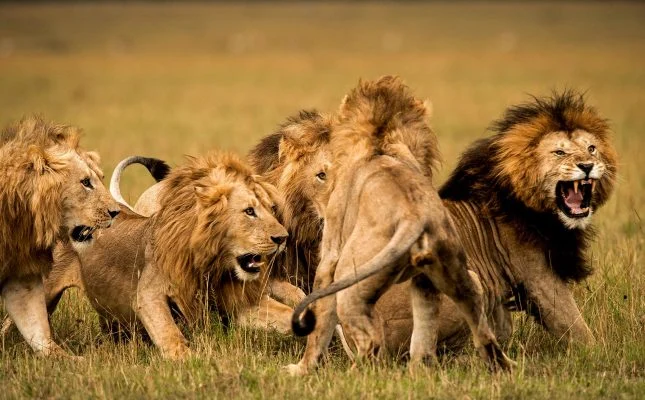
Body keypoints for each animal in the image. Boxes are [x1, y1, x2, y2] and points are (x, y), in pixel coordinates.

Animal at [38, 151, 292, 359]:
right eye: (249, 211)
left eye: (271, 209)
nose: (283, 238)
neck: (212, 265)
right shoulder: (149, 295)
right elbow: (171, 336)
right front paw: (194, 361)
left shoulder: (237, 302)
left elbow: (286, 313)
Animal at [286, 76, 514, 375]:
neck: (380, 141)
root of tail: (413, 217)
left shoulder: (330, 254)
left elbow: (319, 322)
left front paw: (302, 368)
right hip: (454, 275)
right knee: (471, 326)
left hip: (350, 281)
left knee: (371, 342)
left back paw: (352, 375)